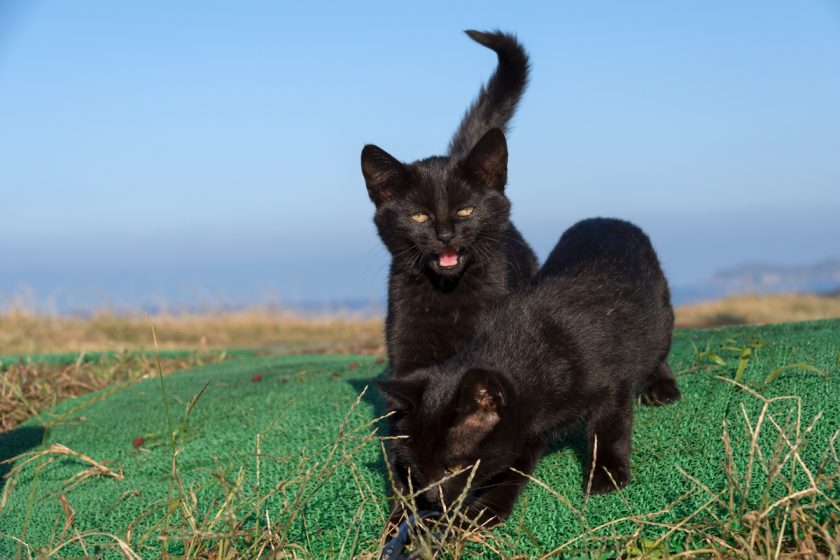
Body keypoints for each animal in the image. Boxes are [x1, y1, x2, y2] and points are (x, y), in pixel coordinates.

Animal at [378, 218, 684, 524]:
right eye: (419, 468)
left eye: (453, 468)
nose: (432, 498)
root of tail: (609, 220)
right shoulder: (525, 426)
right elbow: (513, 468)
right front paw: (486, 511)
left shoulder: (613, 382)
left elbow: (610, 427)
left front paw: (606, 475)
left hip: (658, 316)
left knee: (658, 349)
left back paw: (663, 387)